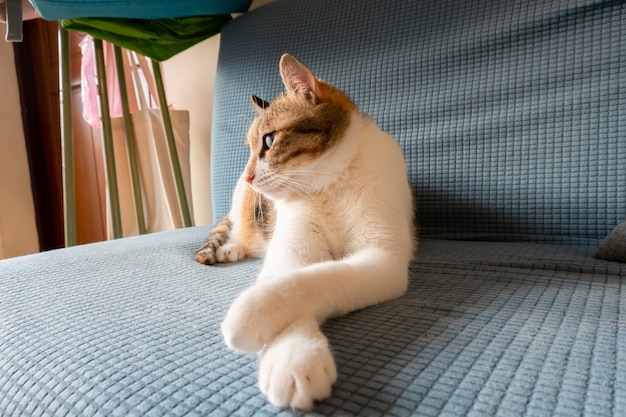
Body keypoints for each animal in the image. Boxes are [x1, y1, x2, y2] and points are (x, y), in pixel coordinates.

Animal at [193, 52, 412, 410]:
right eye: (249, 148)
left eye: (269, 140)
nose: (249, 176)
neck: (332, 183)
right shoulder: (293, 249)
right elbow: (291, 279)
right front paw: (294, 357)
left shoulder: (383, 258)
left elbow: (321, 278)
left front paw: (251, 313)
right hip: (244, 206)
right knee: (237, 229)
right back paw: (230, 249)